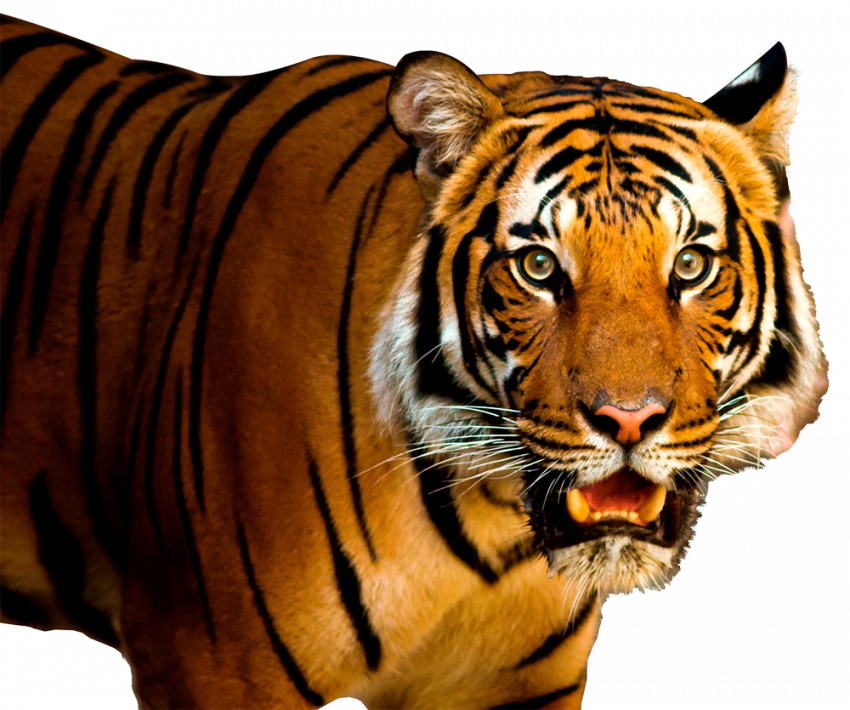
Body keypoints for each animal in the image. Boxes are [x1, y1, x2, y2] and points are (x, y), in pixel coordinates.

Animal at [0, 12, 829, 710]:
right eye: (537, 266)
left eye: (690, 265)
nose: (629, 421)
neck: (490, 523)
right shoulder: (213, 663)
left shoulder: (513, 686)